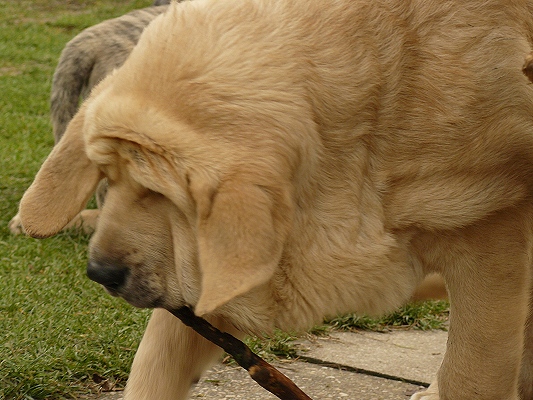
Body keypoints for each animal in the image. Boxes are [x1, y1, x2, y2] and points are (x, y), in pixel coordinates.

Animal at [18, 0, 532, 398]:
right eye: (106, 175)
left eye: (157, 192)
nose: (100, 272)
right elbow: (155, 367)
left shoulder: (492, 244)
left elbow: (474, 372)